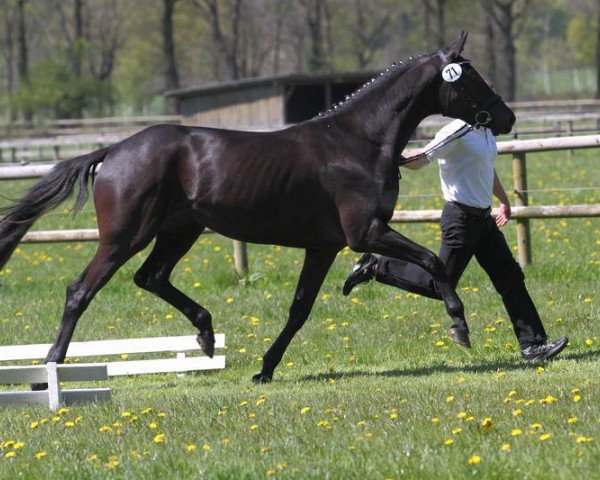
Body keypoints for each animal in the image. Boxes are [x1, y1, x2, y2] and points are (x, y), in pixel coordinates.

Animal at [1, 32, 516, 382]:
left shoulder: (324, 247)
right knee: (80, 291)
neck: (357, 142)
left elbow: (299, 309)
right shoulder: (365, 233)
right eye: (471, 77)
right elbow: (434, 262)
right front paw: (459, 326)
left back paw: (207, 336)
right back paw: (51, 367)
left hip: (179, 231)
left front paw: (265, 369)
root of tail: (114, 151)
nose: (507, 117)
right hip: (124, 236)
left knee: (151, 277)